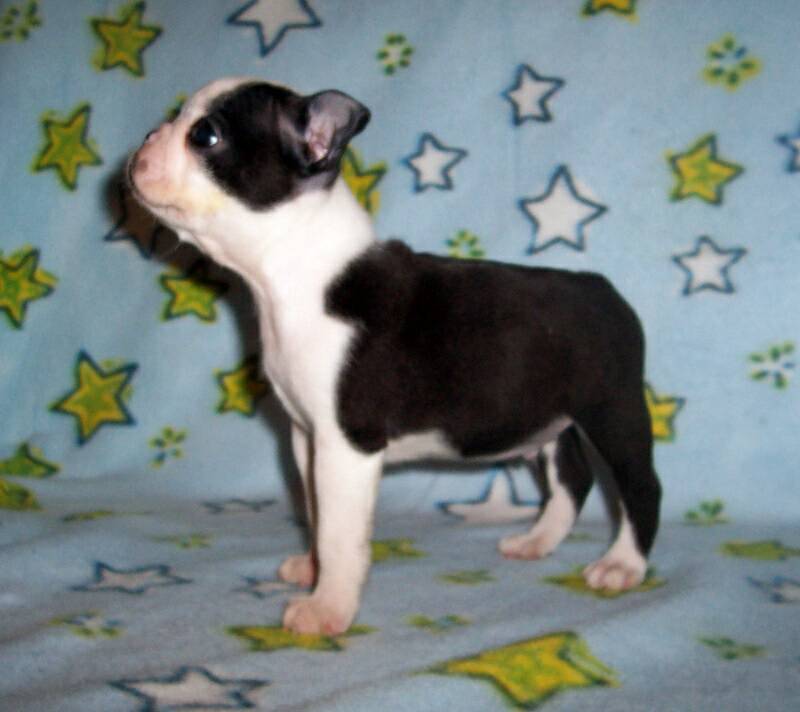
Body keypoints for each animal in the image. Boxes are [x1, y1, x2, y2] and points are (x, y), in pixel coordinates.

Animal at [129, 77, 661, 636]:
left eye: (205, 136)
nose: (147, 137)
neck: (294, 270)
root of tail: (602, 288)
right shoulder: (306, 436)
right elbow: (315, 512)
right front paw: (313, 570)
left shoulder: (347, 443)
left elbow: (339, 532)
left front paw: (327, 609)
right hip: (552, 419)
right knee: (572, 478)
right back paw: (537, 541)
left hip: (613, 410)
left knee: (640, 486)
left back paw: (622, 565)